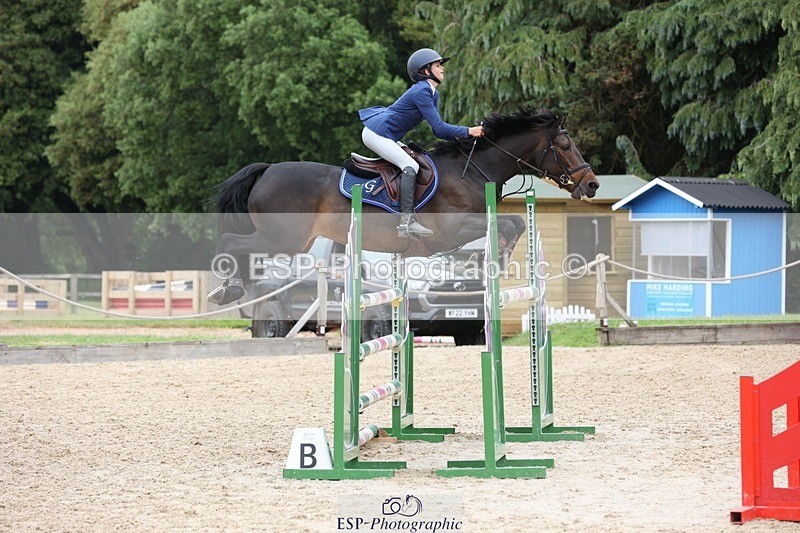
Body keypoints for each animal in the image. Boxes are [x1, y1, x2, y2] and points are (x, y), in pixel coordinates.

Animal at [208, 108, 599, 304]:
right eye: (565, 146)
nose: (592, 184)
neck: (472, 168)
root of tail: (266, 171)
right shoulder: (452, 231)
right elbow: (508, 224)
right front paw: (498, 256)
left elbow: (515, 223)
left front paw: (499, 257)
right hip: (285, 240)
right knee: (230, 242)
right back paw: (229, 288)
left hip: (290, 241)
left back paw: (231, 287)